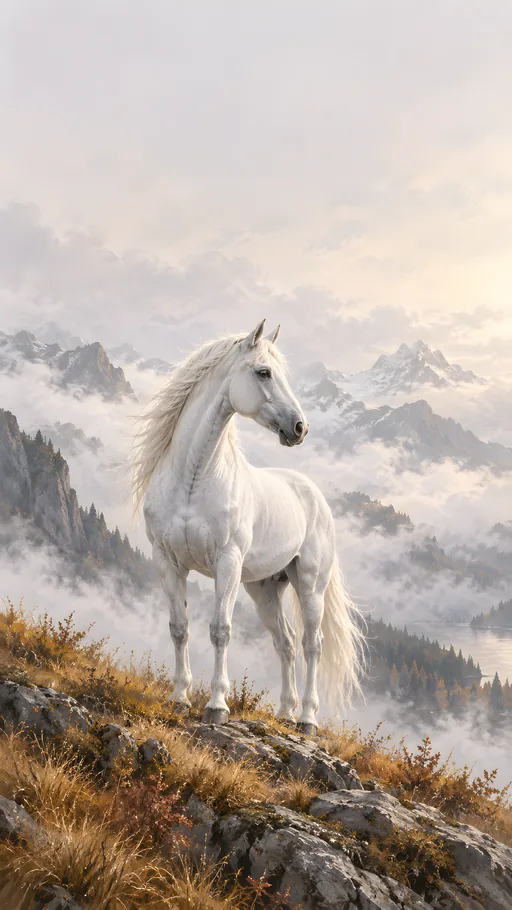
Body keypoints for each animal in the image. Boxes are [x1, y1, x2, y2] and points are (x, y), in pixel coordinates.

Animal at [133, 319, 364, 734]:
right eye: (263, 372)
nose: (300, 428)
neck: (193, 480)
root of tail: (315, 497)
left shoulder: (227, 562)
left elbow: (220, 630)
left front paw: (217, 706)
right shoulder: (167, 562)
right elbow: (179, 627)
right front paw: (179, 697)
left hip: (310, 585)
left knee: (312, 644)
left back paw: (307, 720)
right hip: (265, 589)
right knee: (286, 642)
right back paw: (285, 712)